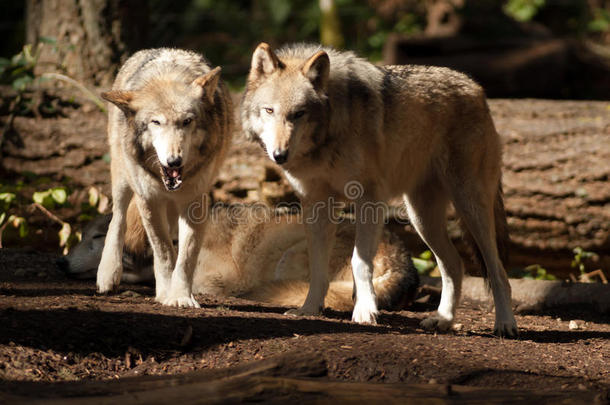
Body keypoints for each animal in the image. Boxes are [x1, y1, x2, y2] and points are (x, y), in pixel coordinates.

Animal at [58, 200, 418, 310]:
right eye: (81, 236)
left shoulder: (216, 279)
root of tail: (405, 262)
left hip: (293, 257)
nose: (60, 261)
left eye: (98, 238)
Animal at [96, 48, 232, 306]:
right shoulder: (149, 200)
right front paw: (168, 293)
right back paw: (108, 275)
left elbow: (185, 256)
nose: (174, 161)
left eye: (187, 121)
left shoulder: (194, 202)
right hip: (123, 178)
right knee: (118, 218)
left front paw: (180, 296)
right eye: (156, 122)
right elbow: (164, 251)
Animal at [240, 42, 516, 336]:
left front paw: (364, 311)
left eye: (299, 114)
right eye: (269, 111)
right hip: (422, 218)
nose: (280, 155)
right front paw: (309, 308)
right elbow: (317, 266)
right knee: (455, 265)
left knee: (498, 271)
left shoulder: (369, 199)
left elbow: (360, 262)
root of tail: (476, 87)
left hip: (470, 207)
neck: (328, 135)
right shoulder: (317, 205)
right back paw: (443, 319)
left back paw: (505, 323)